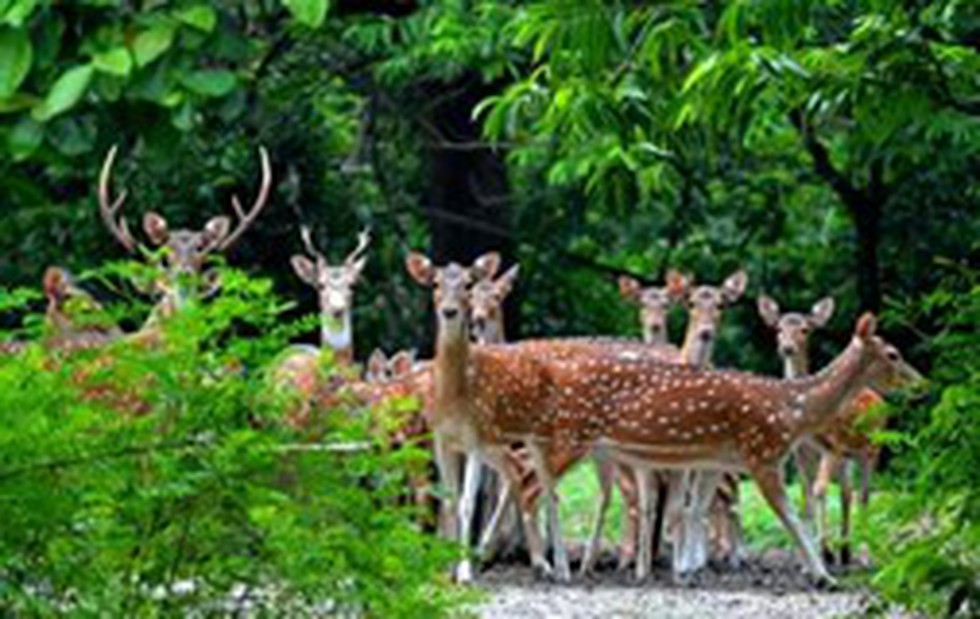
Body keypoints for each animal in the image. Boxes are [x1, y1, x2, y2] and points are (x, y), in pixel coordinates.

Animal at [756, 296, 888, 568]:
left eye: (805, 329)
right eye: (778, 329)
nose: (787, 348)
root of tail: (878, 398)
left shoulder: (832, 447)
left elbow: (820, 491)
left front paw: (825, 552)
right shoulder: (801, 455)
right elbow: (806, 498)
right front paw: (806, 558)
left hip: (872, 449)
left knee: (864, 494)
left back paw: (863, 552)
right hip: (848, 457)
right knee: (848, 493)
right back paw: (845, 552)